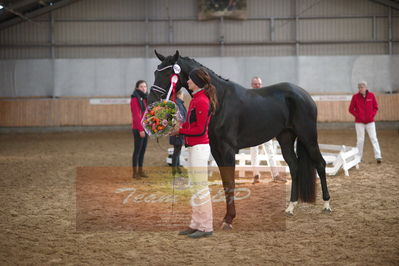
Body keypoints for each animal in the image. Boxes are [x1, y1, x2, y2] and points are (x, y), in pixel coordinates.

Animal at [148, 51, 332, 230]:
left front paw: (229, 219)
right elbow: (225, 182)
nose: (152, 101)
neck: (219, 99)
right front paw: (225, 217)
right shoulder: (216, 149)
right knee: (294, 167)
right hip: (286, 138)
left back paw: (326, 204)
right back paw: (290, 207)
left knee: (320, 164)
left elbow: (231, 182)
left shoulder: (228, 149)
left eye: (169, 73)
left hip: (308, 137)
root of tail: (305, 95)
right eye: (156, 71)